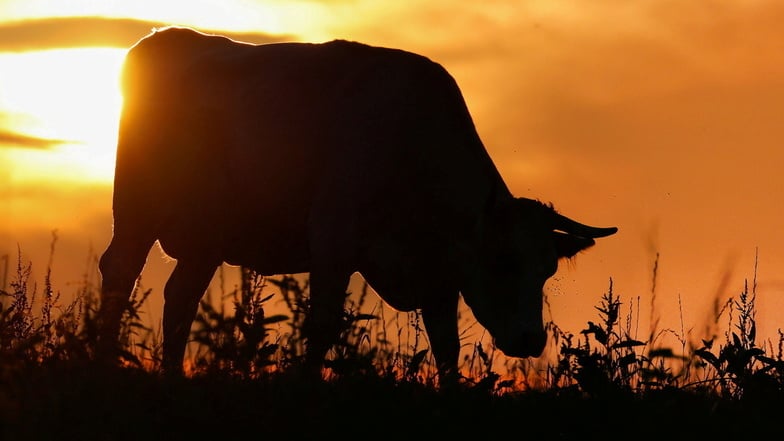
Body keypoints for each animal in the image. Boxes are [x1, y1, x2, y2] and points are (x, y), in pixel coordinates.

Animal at [95, 25, 616, 382]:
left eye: (547, 269)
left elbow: (446, 345)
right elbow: (323, 325)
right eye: (504, 262)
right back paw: (103, 364)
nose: (531, 339)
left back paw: (170, 374)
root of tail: (165, 37)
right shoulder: (333, 240)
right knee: (120, 273)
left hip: (207, 237)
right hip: (136, 211)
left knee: (180, 296)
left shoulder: (439, 275)